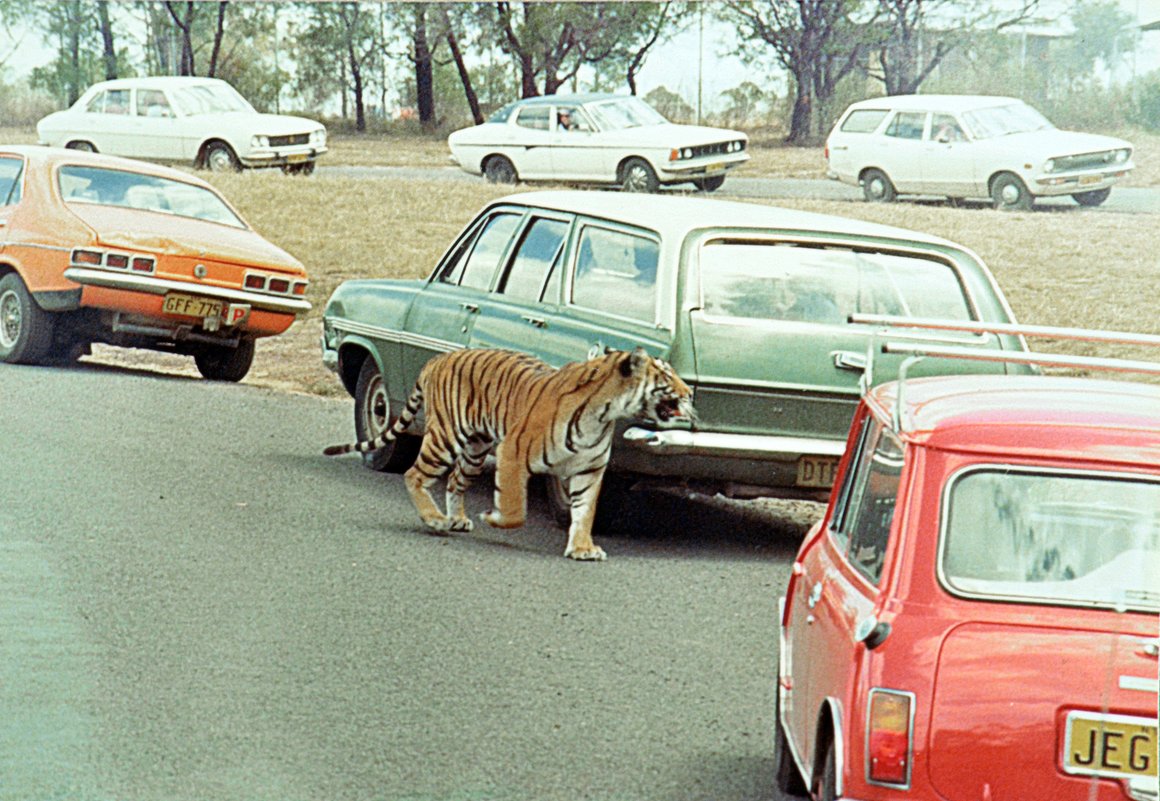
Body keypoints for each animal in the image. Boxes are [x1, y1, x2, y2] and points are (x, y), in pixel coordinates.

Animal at [322, 347, 691, 561]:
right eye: (666, 376)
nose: (689, 392)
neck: (603, 415)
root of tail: (438, 358)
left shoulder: (590, 470)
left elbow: (585, 512)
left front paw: (582, 549)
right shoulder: (512, 452)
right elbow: (516, 510)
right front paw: (494, 517)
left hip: (474, 448)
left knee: (454, 481)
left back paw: (456, 519)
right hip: (445, 437)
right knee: (415, 475)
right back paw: (435, 519)